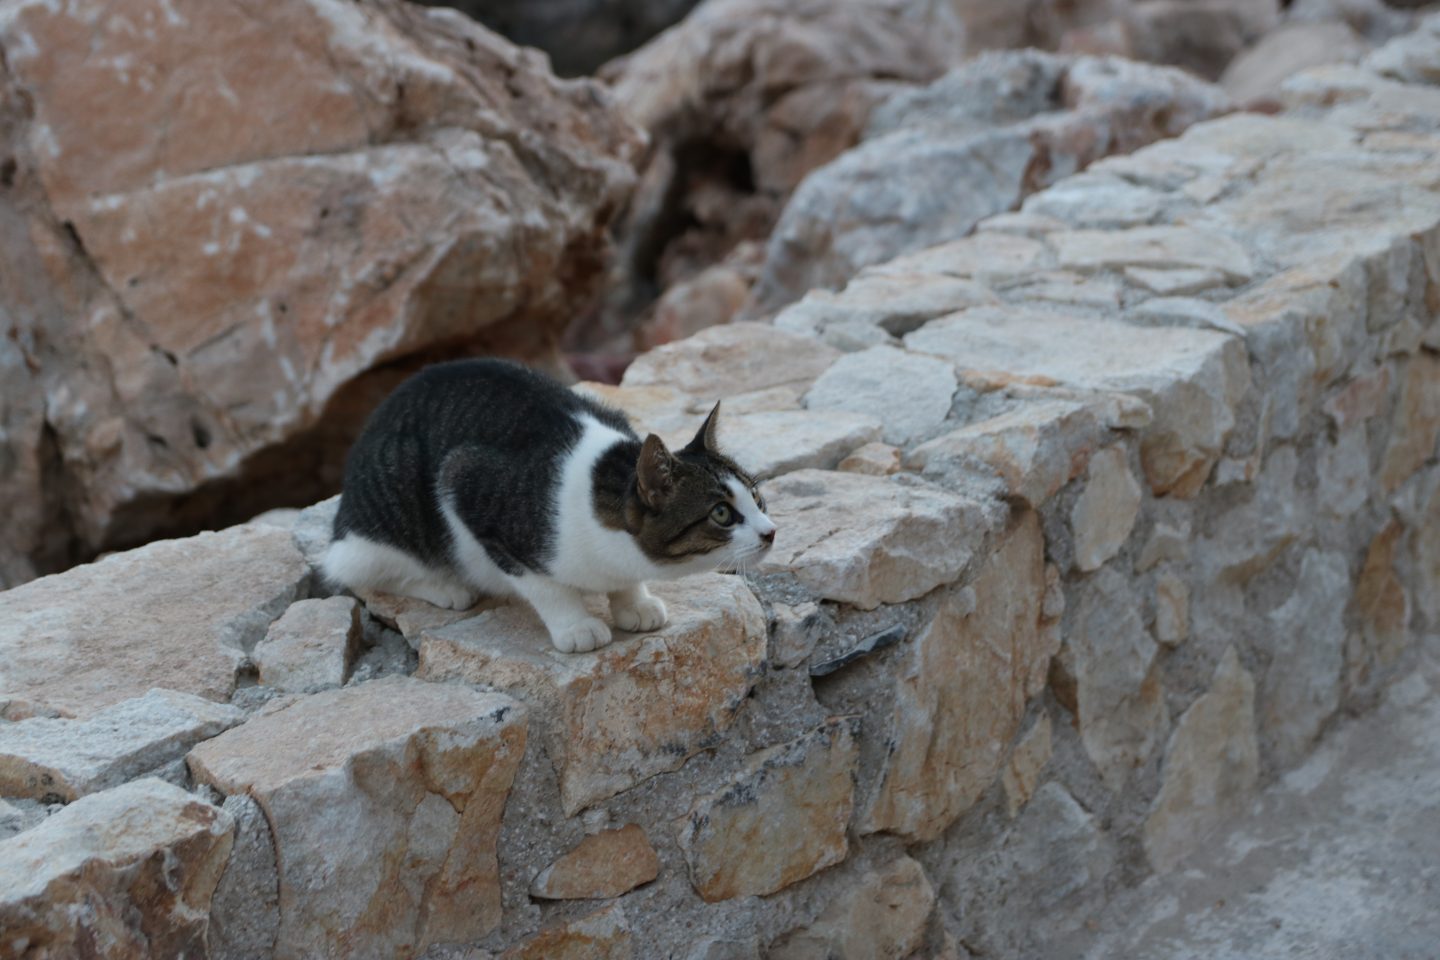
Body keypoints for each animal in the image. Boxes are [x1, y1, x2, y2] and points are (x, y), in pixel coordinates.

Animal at [324, 356, 777, 656]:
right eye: (722, 514)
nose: (771, 532)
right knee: (359, 570)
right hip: (388, 515)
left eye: (757, 498)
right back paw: (445, 587)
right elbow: (541, 583)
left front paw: (634, 603)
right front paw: (575, 625)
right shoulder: (466, 486)